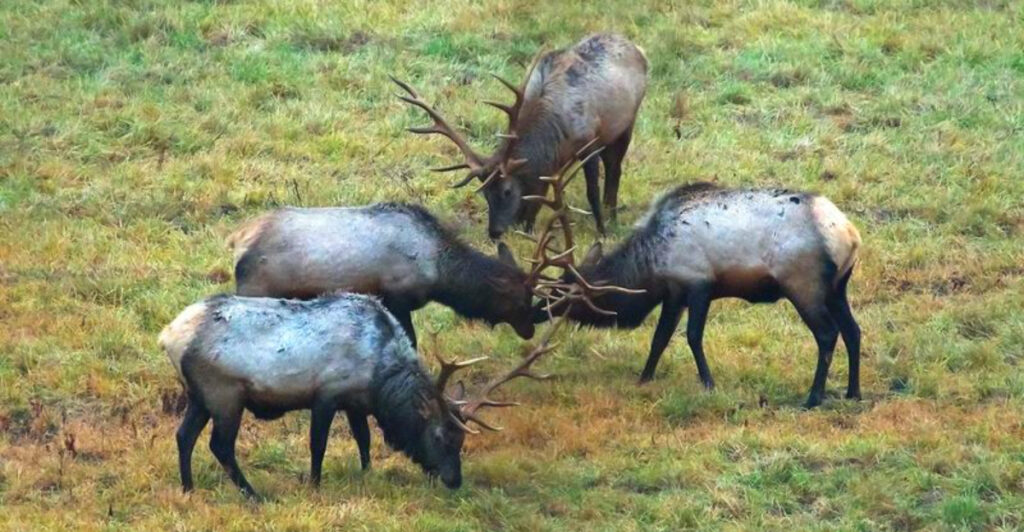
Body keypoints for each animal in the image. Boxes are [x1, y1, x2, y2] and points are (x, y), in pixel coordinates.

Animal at [159, 292, 552, 498]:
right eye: (441, 436)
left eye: (463, 441)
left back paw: (188, 488)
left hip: (199, 396)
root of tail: (168, 335)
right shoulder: (327, 393)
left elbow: (364, 438)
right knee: (219, 445)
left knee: (183, 436)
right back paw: (253, 494)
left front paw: (367, 472)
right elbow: (318, 444)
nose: (454, 481)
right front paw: (314, 484)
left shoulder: (355, 403)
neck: (379, 378)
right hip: (225, 394)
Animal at [228, 202, 535, 348]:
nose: (530, 330)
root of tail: (238, 240)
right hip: (256, 291)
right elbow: (411, 342)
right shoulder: (395, 297)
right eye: (519, 300)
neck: (439, 274)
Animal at [392, 33, 648, 239]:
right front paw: (530, 230)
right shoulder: (551, 163)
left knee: (615, 170)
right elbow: (541, 193)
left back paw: (612, 217)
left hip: (627, 124)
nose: (495, 232)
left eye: (507, 191)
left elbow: (592, 190)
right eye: (485, 193)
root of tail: (638, 49)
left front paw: (602, 232)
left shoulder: (589, 140)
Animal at [536, 182, 863, 408]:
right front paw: (644, 378)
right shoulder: (676, 292)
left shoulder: (697, 283)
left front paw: (708, 383)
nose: (535, 310)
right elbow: (660, 338)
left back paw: (813, 398)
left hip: (803, 285)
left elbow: (692, 336)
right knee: (853, 331)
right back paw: (853, 392)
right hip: (837, 288)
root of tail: (849, 233)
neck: (650, 266)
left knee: (827, 334)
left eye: (564, 295)